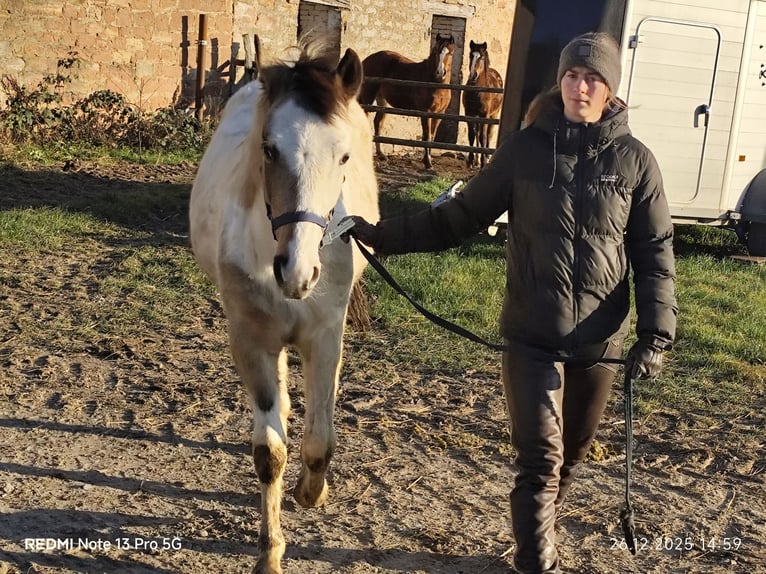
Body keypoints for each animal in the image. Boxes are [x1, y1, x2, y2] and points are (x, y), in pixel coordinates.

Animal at [189, 38, 379, 574]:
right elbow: (269, 452)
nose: (297, 271)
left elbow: (319, 443)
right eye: (269, 149)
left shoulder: (325, 337)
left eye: (344, 155)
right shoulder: (251, 339)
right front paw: (270, 553)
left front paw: (312, 493)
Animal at [359, 33, 455, 169]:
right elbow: (427, 136)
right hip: (368, 98)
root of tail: (367, 59)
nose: (440, 73)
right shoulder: (425, 112)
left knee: (378, 122)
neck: (434, 83)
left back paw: (382, 155)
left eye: (450, 53)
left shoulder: (439, 114)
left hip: (382, 100)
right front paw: (427, 162)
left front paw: (429, 160)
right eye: (436, 51)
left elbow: (432, 136)